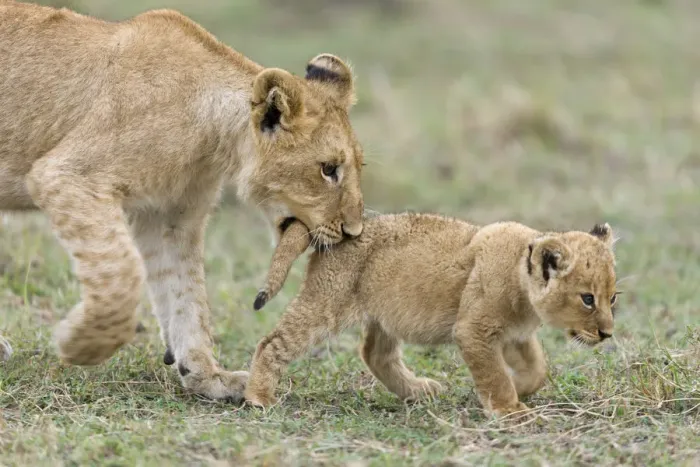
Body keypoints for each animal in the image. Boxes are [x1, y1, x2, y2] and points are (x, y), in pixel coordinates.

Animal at [0, 1, 365, 403]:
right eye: (328, 169)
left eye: (358, 166)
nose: (354, 231)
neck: (213, 136)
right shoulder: (67, 176)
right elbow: (121, 273)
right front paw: (81, 345)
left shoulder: (171, 216)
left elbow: (185, 293)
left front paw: (207, 376)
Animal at [244, 214, 619, 417]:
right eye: (587, 299)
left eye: (612, 298)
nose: (607, 334)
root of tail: (331, 229)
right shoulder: (473, 330)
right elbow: (495, 376)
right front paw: (510, 411)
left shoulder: (516, 334)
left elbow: (538, 367)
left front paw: (521, 387)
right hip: (327, 303)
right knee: (272, 342)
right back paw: (258, 398)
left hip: (385, 312)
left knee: (375, 354)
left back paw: (418, 391)